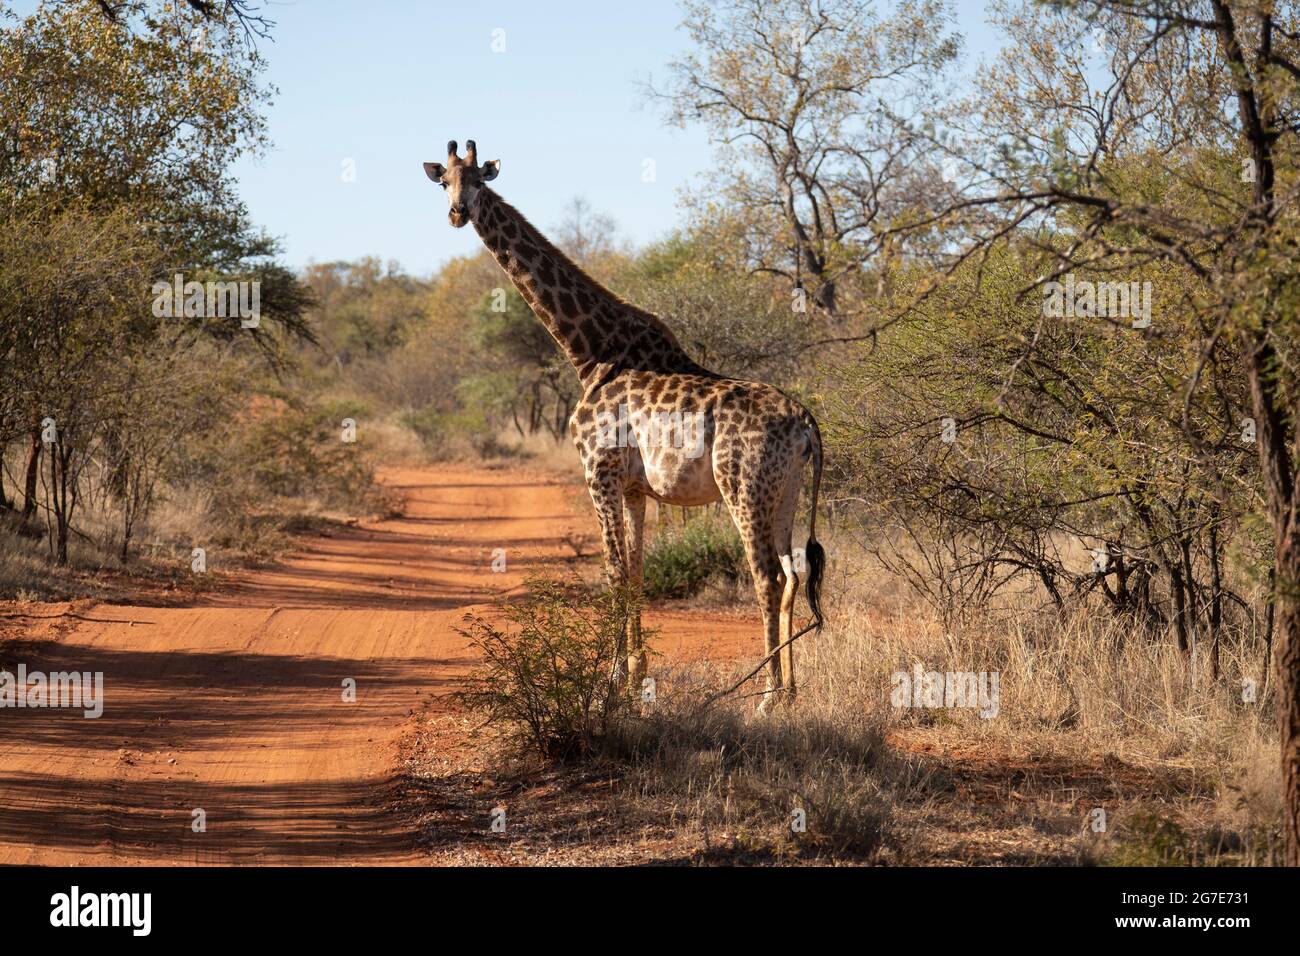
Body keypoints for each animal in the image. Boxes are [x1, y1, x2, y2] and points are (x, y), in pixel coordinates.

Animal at [424, 140, 825, 706]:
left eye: (479, 179)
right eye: (444, 182)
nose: (458, 213)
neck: (590, 353)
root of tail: (806, 422)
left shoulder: (599, 470)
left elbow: (613, 572)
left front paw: (609, 684)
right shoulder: (636, 487)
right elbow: (636, 572)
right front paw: (637, 677)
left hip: (742, 485)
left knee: (766, 575)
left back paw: (765, 695)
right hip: (786, 488)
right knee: (794, 572)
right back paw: (790, 691)